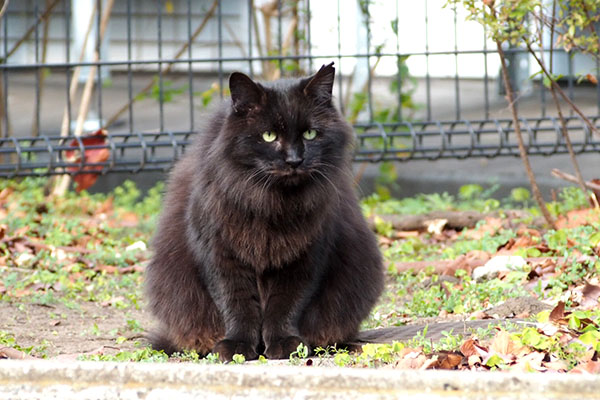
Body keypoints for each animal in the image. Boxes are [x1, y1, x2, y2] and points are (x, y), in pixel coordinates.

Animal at [148, 61, 386, 360]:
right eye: (269, 136)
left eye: (310, 134)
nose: (295, 160)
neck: (272, 203)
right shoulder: (220, 254)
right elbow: (236, 304)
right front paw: (236, 347)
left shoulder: (304, 257)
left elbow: (285, 305)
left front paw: (285, 344)